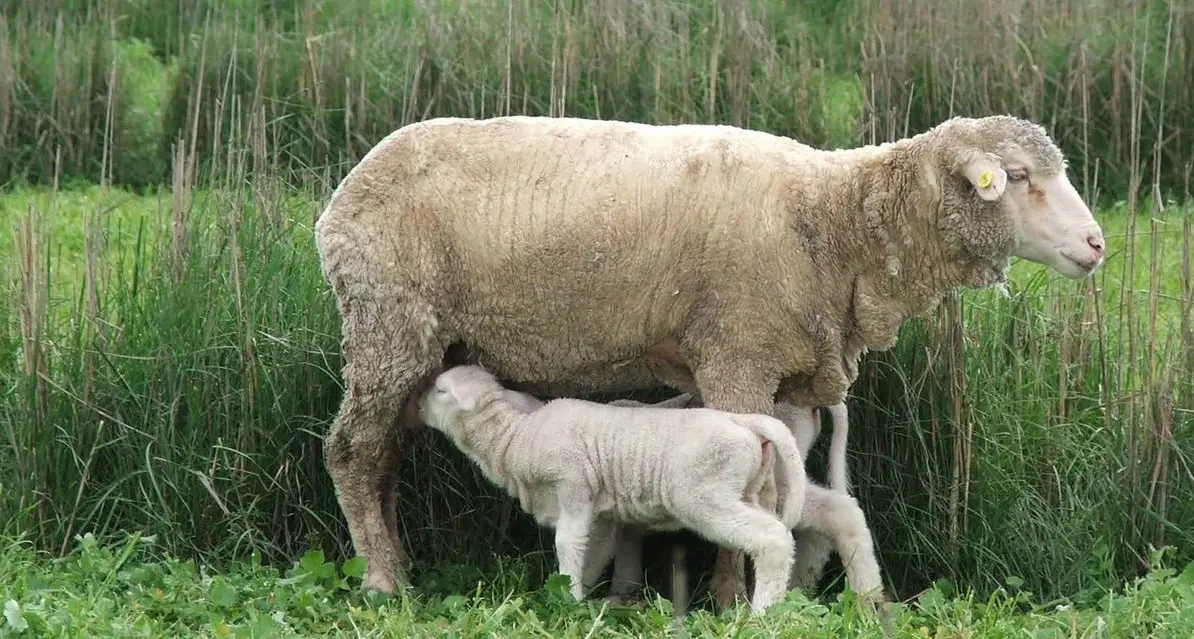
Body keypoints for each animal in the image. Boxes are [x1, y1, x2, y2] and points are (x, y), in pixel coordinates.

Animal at [415, 364, 808, 612]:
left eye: (441, 390)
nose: (415, 406)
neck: (515, 438)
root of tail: (743, 420)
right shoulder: (601, 514)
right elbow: (594, 552)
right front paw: (572, 596)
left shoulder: (573, 487)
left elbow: (567, 544)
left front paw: (569, 600)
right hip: (746, 491)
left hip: (704, 495)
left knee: (772, 538)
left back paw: (763, 613)